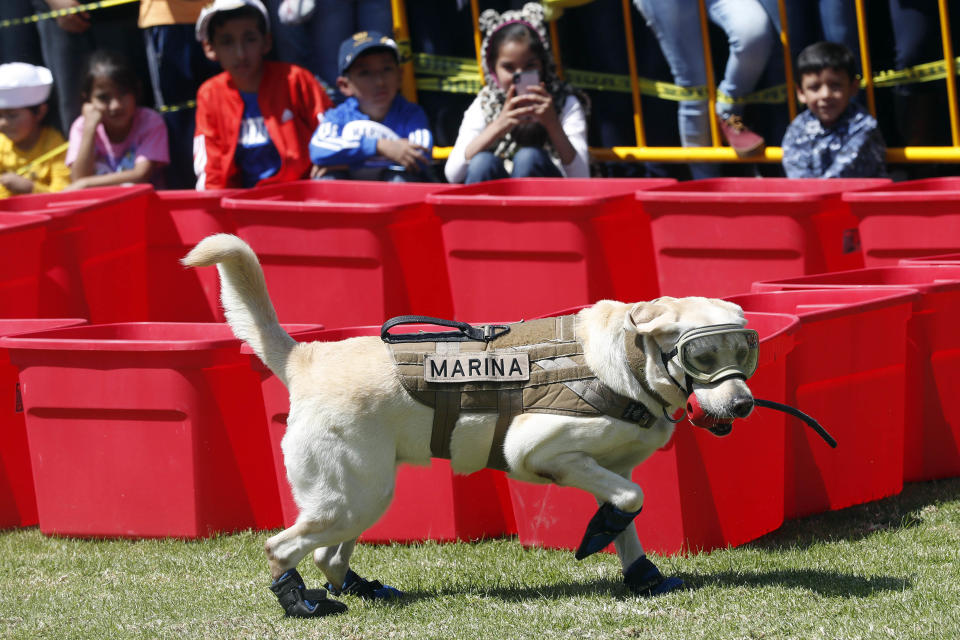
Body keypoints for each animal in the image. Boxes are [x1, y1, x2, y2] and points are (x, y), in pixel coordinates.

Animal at [182, 234, 756, 616]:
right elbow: (631, 500)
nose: (745, 405)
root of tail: (306, 357)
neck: (632, 361)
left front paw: (642, 576)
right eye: (704, 354)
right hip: (350, 498)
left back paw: (367, 590)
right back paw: (302, 604)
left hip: (362, 495)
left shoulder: (611, 467)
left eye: (744, 353)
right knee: (283, 547)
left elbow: (627, 515)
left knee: (328, 554)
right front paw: (599, 537)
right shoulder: (537, 450)